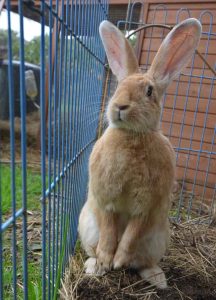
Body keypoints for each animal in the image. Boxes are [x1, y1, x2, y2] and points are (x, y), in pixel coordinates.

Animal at [77, 18, 201, 288]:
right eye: (118, 87)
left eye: (149, 91)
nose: (120, 106)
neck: (131, 136)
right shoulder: (106, 201)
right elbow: (109, 230)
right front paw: (107, 260)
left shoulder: (146, 207)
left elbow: (131, 234)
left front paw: (118, 261)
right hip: (88, 225)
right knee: (93, 248)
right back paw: (95, 267)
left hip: (157, 239)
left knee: (141, 263)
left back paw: (157, 279)